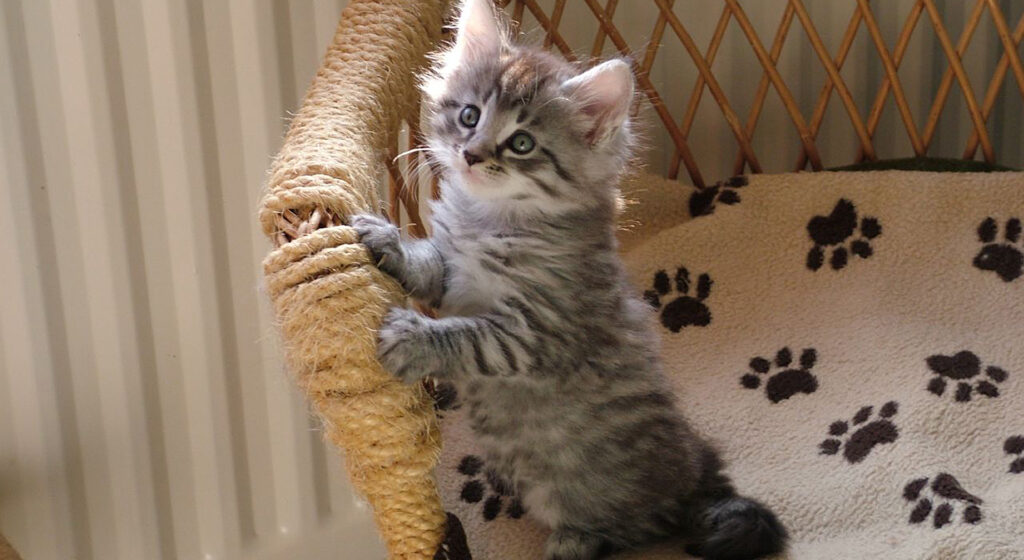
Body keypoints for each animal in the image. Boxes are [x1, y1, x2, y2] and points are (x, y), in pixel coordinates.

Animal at [348, 2, 786, 556]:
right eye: (469, 116)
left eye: (521, 143)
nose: (472, 154)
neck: (488, 220)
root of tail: (694, 478)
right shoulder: (451, 276)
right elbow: (428, 265)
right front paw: (387, 241)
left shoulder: (538, 332)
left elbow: (469, 337)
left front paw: (412, 339)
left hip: (586, 496)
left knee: (624, 530)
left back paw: (571, 542)